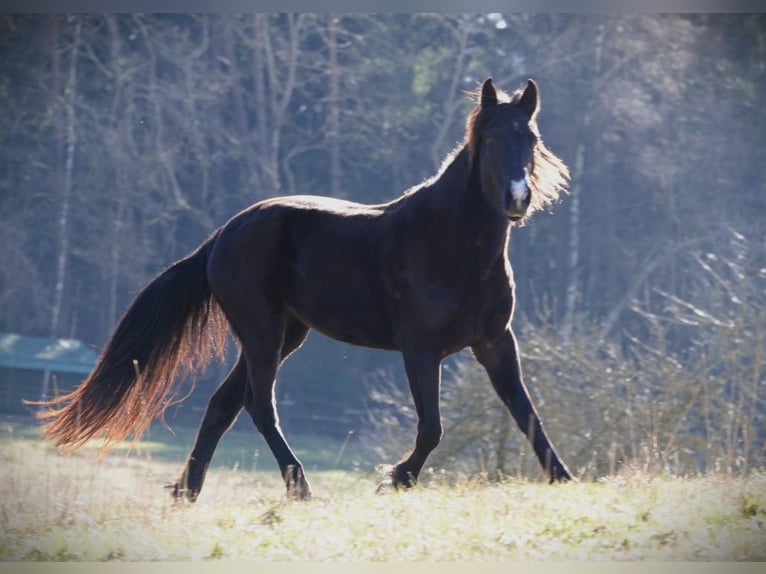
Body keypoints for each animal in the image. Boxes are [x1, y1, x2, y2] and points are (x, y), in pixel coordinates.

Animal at [35, 78, 573, 500]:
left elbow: (528, 415)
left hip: (283, 335)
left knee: (223, 406)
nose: (517, 198)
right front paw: (396, 478)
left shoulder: (495, 342)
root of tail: (223, 235)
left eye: (530, 137)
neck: (452, 244)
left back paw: (188, 491)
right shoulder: (420, 349)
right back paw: (300, 487)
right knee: (258, 406)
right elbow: (432, 428)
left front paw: (565, 480)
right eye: (492, 138)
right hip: (263, 332)